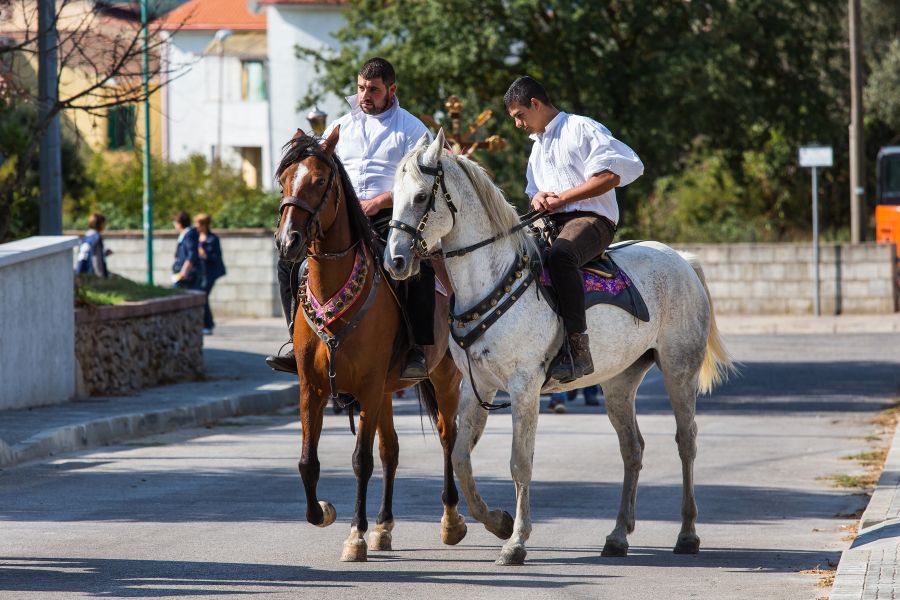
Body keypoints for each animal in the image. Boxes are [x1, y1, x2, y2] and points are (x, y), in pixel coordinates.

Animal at [270, 127, 468, 564]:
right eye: (283, 180)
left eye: (319, 181)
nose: (288, 241)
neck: (333, 289)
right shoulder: (313, 387)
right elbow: (307, 461)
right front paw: (324, 513)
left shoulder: (369, 387)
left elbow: (361, 460)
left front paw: (355, 536)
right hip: (388, 392)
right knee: (391, 450)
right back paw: (384, 527)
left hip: (442, 379)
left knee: (448, 437)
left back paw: (450, 521)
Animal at [384, 129, 736, 564]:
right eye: (393, 195)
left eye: (420, 197)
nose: (395, 262)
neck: (492, 281)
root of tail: (682, 259)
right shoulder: (477, 386)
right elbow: (462, 459)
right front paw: (498, 522)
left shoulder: (524, 388)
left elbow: (520, 463)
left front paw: (515, 542)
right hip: (619, 382)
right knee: (632, 449)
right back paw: (617, 536)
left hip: (679, 371)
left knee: (686, 442)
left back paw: (687, 534)